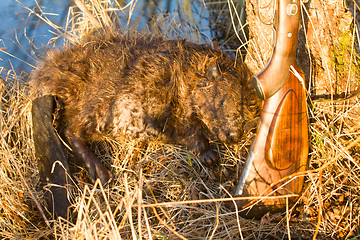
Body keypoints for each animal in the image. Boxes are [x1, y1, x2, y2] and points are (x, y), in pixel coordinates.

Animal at [30, 32, 258, 218]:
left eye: (248, 105)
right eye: (222, 102)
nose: (234, 135)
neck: (184, 74)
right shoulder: (174, 104)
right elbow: (189, 131)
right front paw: (210, 156)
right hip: (96, 108)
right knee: (71, 131)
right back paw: (101, 172)